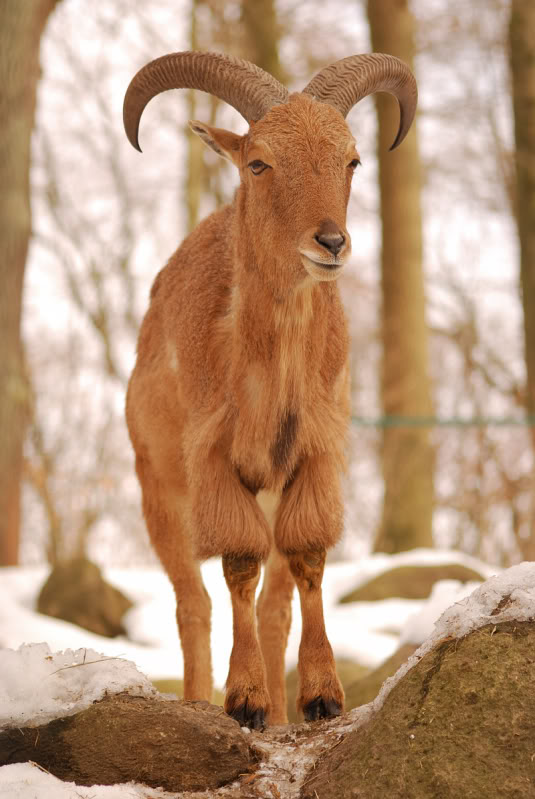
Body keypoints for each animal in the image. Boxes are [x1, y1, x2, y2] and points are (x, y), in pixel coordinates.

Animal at [123, 50, 417, 729]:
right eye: (259, 162)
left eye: (351, 160)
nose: (331, 242)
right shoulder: (212, 459)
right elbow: (238, 563)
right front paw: (246, 700)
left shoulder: (316, 454)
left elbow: (304, 560)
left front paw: (321, 697)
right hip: (159, 489)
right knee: (193, 604)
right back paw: (200, 700)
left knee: (273, 605)